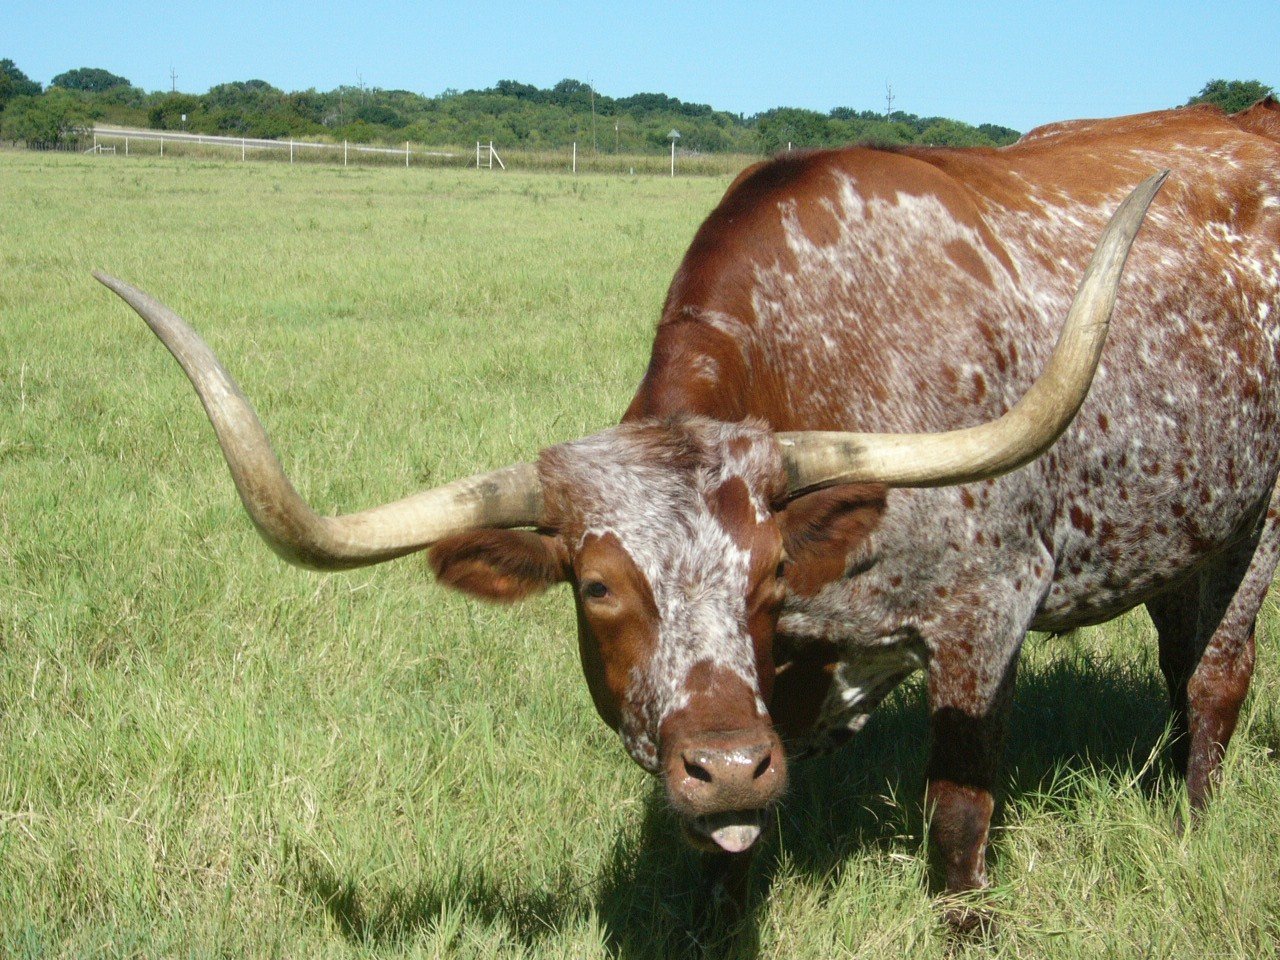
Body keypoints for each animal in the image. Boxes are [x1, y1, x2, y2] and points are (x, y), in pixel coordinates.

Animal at [97, 99, 1280, 916]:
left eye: (767, 571)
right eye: (594, 585)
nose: (726, 763)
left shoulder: (983, 618)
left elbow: (956, 829)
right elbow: (723, 859)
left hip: (1260, 527)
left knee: (1213, 684)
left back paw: (1192, 833)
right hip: (1181, 526)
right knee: (1180, 664)